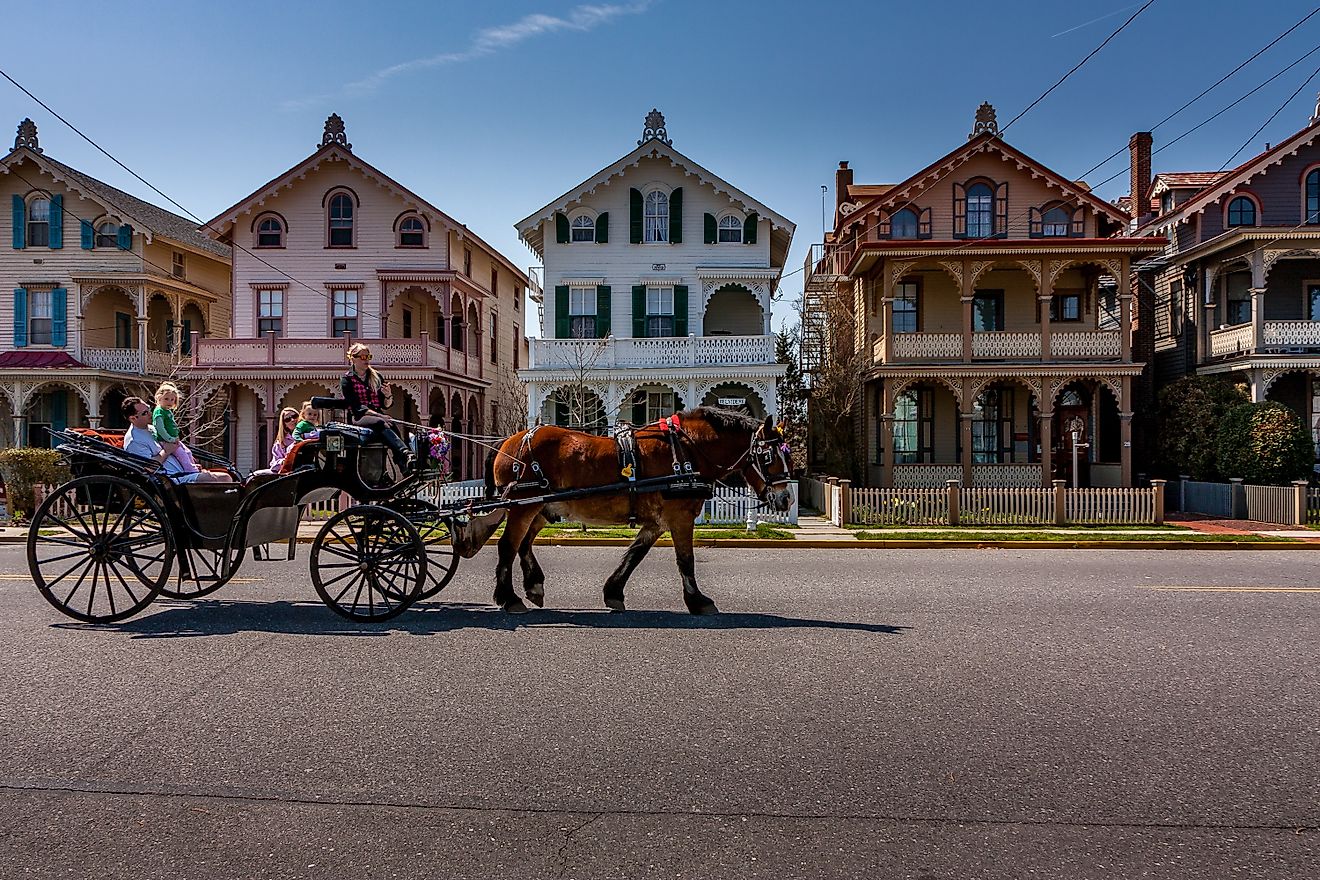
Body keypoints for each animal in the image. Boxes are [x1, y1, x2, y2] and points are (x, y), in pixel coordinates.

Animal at [448, 408, 786, 617]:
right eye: (769, 456)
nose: (784, 500)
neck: (685, 452)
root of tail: (509, 441)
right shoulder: (680, 516)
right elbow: (686, 560)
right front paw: (698, 601)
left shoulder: (657, 522)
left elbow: (635, 555)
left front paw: (613, 591)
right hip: (526, 504)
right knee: (508, 546)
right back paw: (510, 597)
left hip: (541, 506)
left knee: (524, 544)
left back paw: (534, 585)